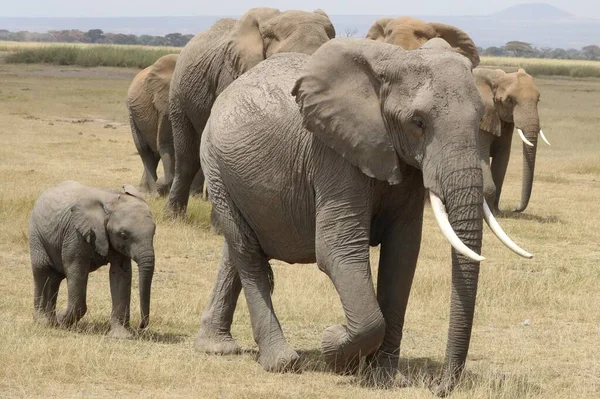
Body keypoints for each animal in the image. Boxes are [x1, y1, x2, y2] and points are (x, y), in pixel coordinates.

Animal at [29, 180, 156, 340]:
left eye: (154, 232)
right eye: (123, 235)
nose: (141, 326)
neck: (110, 201)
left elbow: (121, 275)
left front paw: (121, 336)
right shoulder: (75, 234)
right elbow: (76, 270)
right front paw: (61, 320)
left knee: (54, 278)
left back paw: (51, 320)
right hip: (36, 235)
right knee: (42, 271)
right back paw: (44, 321)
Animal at [125, 53, 205, 197]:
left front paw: (195, 196)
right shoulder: (166, 102)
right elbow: (166, 143)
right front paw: (164, 186)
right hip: (132, 115)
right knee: (145, 151)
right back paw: (153, 194)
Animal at [197, 38, 528, 396]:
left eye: (481, 117)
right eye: (418, 123)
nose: (439, 387)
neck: (393, 63)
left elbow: (402, 255)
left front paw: (385, 378)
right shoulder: (333, 154)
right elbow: (338, 250)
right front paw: (334, 346)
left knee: (237, 251)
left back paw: (216, 346)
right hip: (214, 163)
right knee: (247, 252)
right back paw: (282, 362)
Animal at [474, 68, 548, 216]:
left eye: (538, 99)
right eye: (509, 100)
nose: (515, 208)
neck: (495, 78)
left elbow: (503, 157)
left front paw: (496, 212)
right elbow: (482, 155)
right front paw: (489, 214)